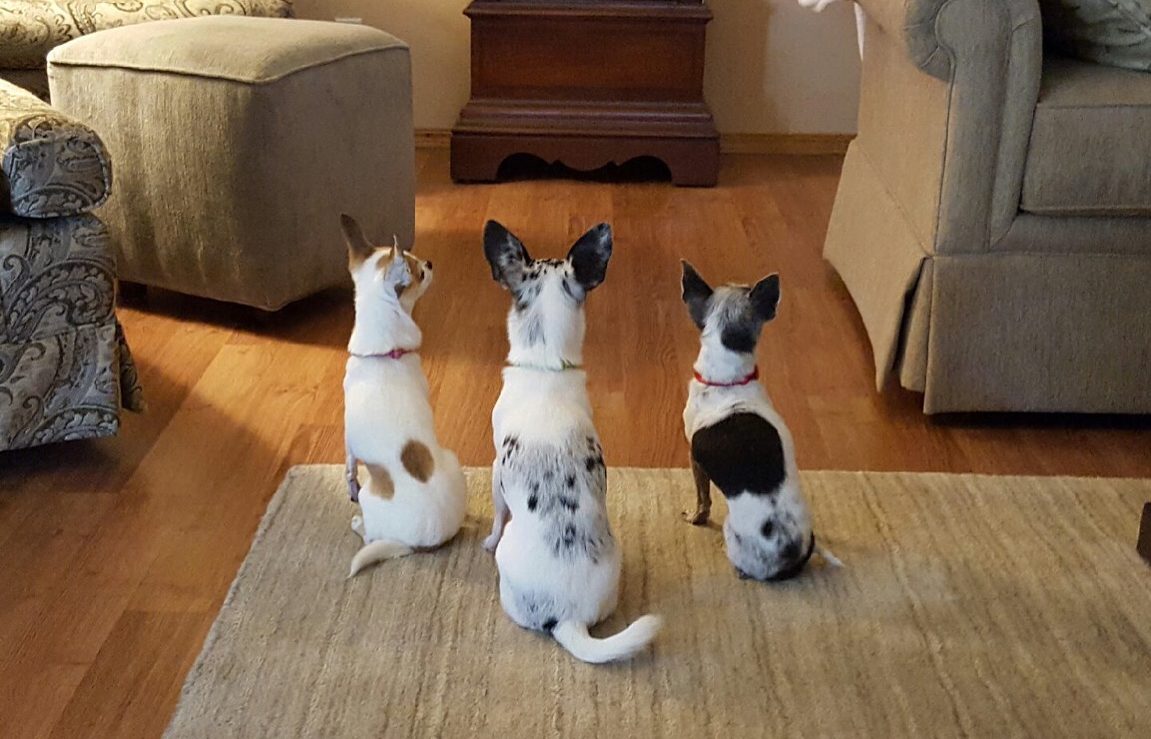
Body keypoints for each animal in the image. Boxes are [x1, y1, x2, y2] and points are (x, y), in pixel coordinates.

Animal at [340, 212, 467, 575]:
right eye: (420, 271)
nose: (430, 262)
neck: (386, 353)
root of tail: (417, 545)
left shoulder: (348, 435)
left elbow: (350, 465)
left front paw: (349, 482)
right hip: (453, 460)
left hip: (371, 499)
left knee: (370, 536)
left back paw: (359, 524)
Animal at [481, 218, 662, 663]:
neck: (547, 365)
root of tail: (569, 618)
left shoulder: (493, 471)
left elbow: (495, 514)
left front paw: (485, 538)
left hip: (508, 563)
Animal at [676, 262, 842, 577]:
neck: (729, 380)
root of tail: (794, 553)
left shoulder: (694, 458)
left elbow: (703, 499)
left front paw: (695, 518)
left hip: (731, 530)